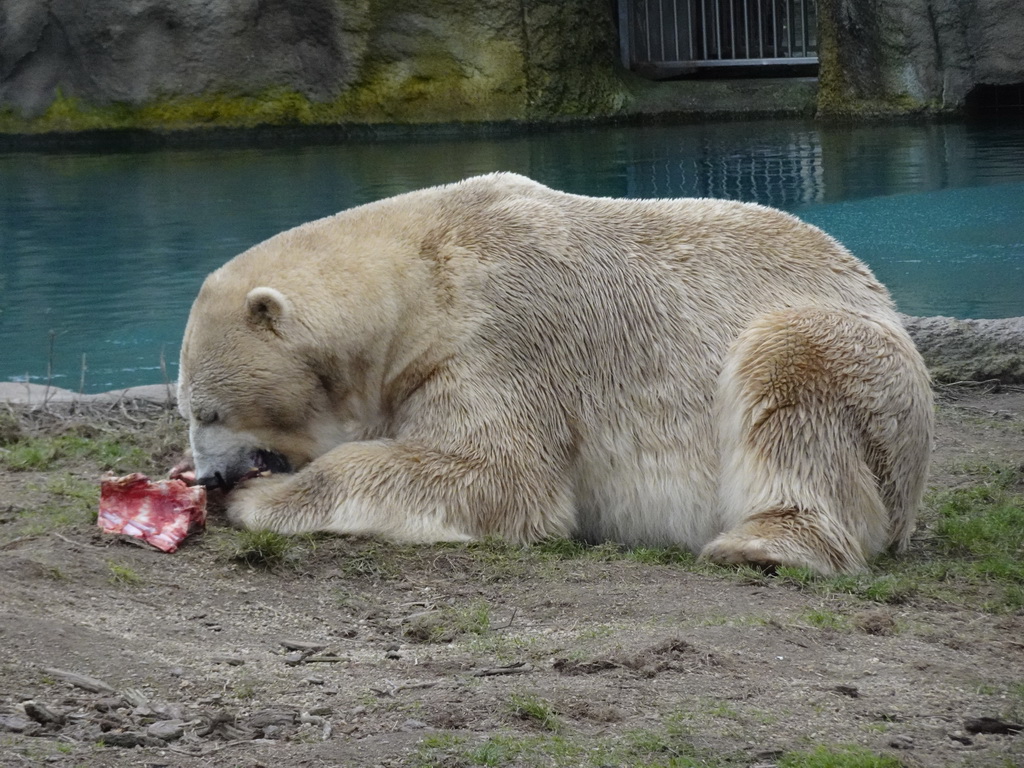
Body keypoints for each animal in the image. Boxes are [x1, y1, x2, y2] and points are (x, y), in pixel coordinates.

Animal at [180, 171, 933, 573]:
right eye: (189, 410)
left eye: (209, 411)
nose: (209, 477)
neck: (422, 274)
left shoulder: (500, 334)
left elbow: (499, 475)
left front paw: (259, 499)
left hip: (873, 380)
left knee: (795, 367)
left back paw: (763, 543)